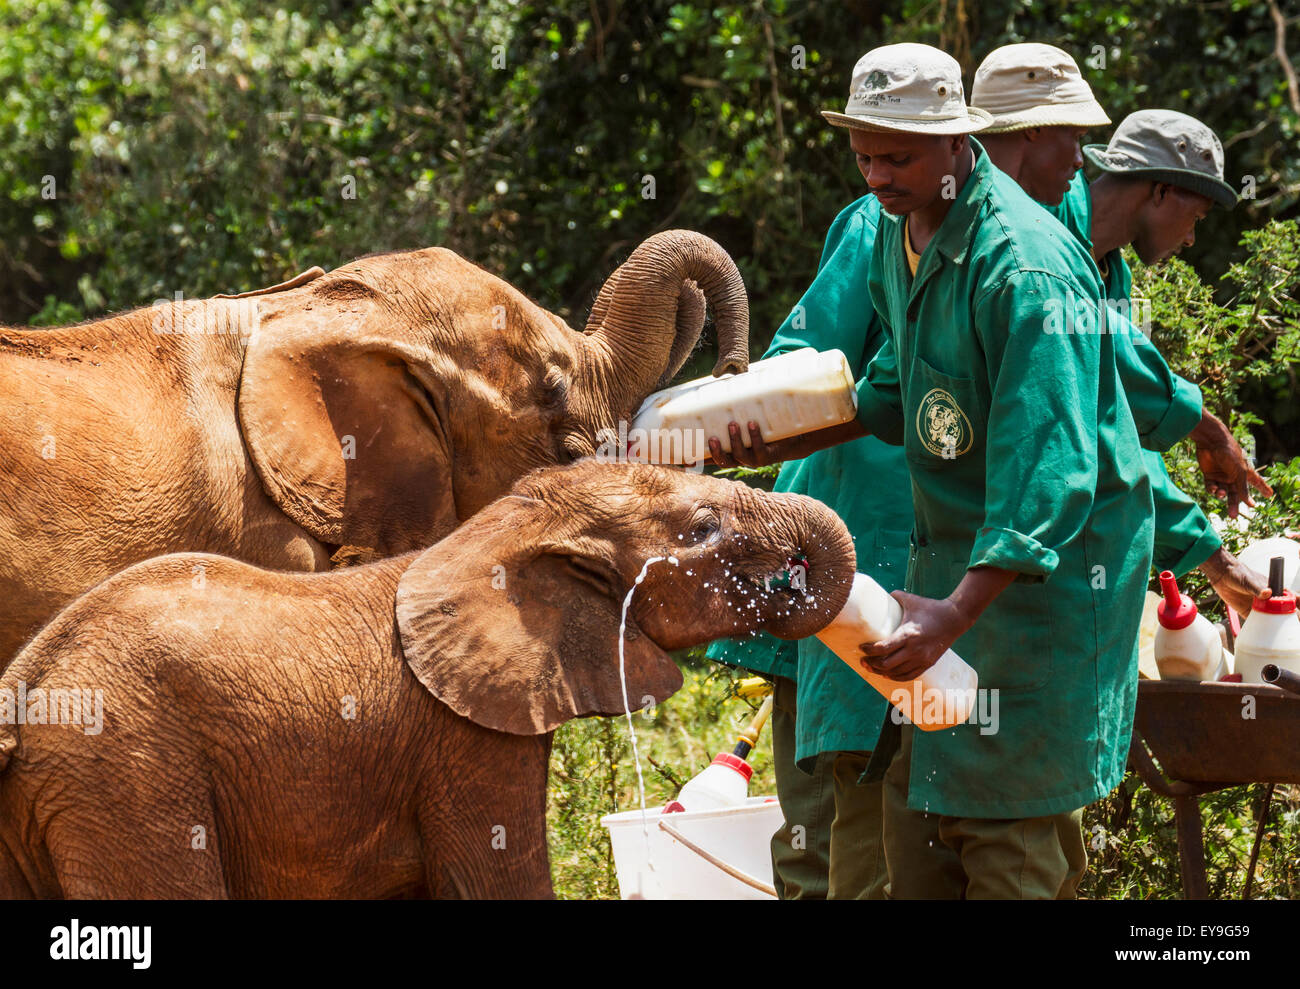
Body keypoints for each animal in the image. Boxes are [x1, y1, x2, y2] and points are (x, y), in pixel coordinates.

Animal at [0, 458, 854, 899]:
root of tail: (24, 690)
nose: (792, 575)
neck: (499, 529)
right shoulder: (465, 739)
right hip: (128, 778)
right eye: (703, 530)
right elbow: (495, 881)